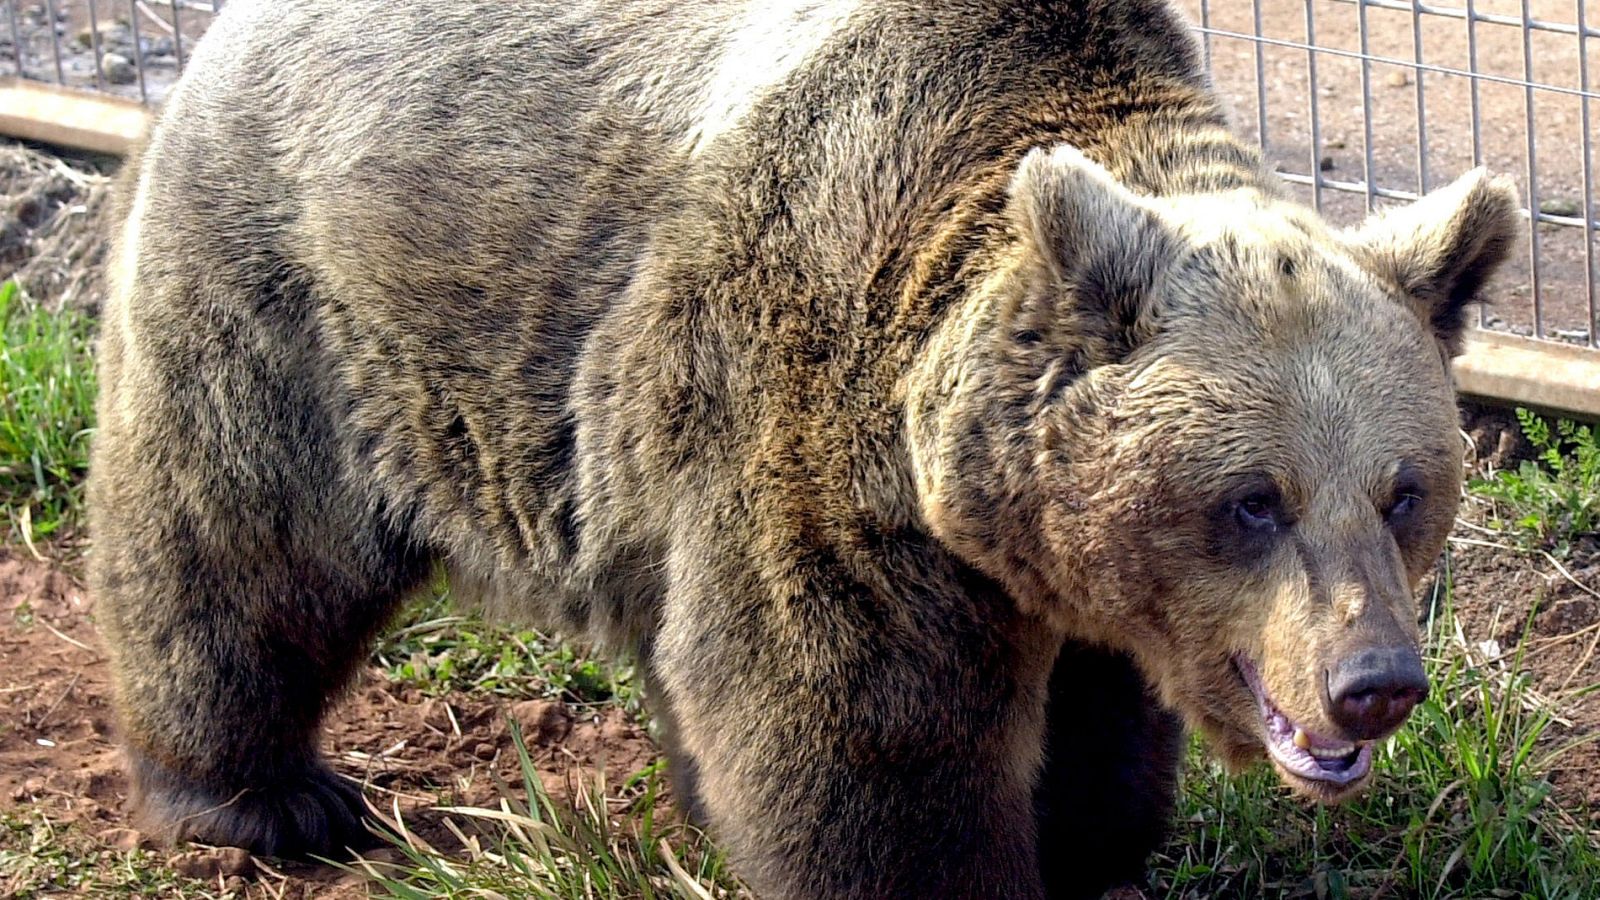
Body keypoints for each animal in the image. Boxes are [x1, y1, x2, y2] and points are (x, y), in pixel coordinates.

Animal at [90, 0, 1519, 897]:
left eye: (1404, 493)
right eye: (1254, 499)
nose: (1374, 683)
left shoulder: (1065, 563)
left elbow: (1095, 714)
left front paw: (1090, 837)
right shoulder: (813, 415)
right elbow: (862, 729)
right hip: (314, 295)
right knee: (237, 539)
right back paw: (259, 799)